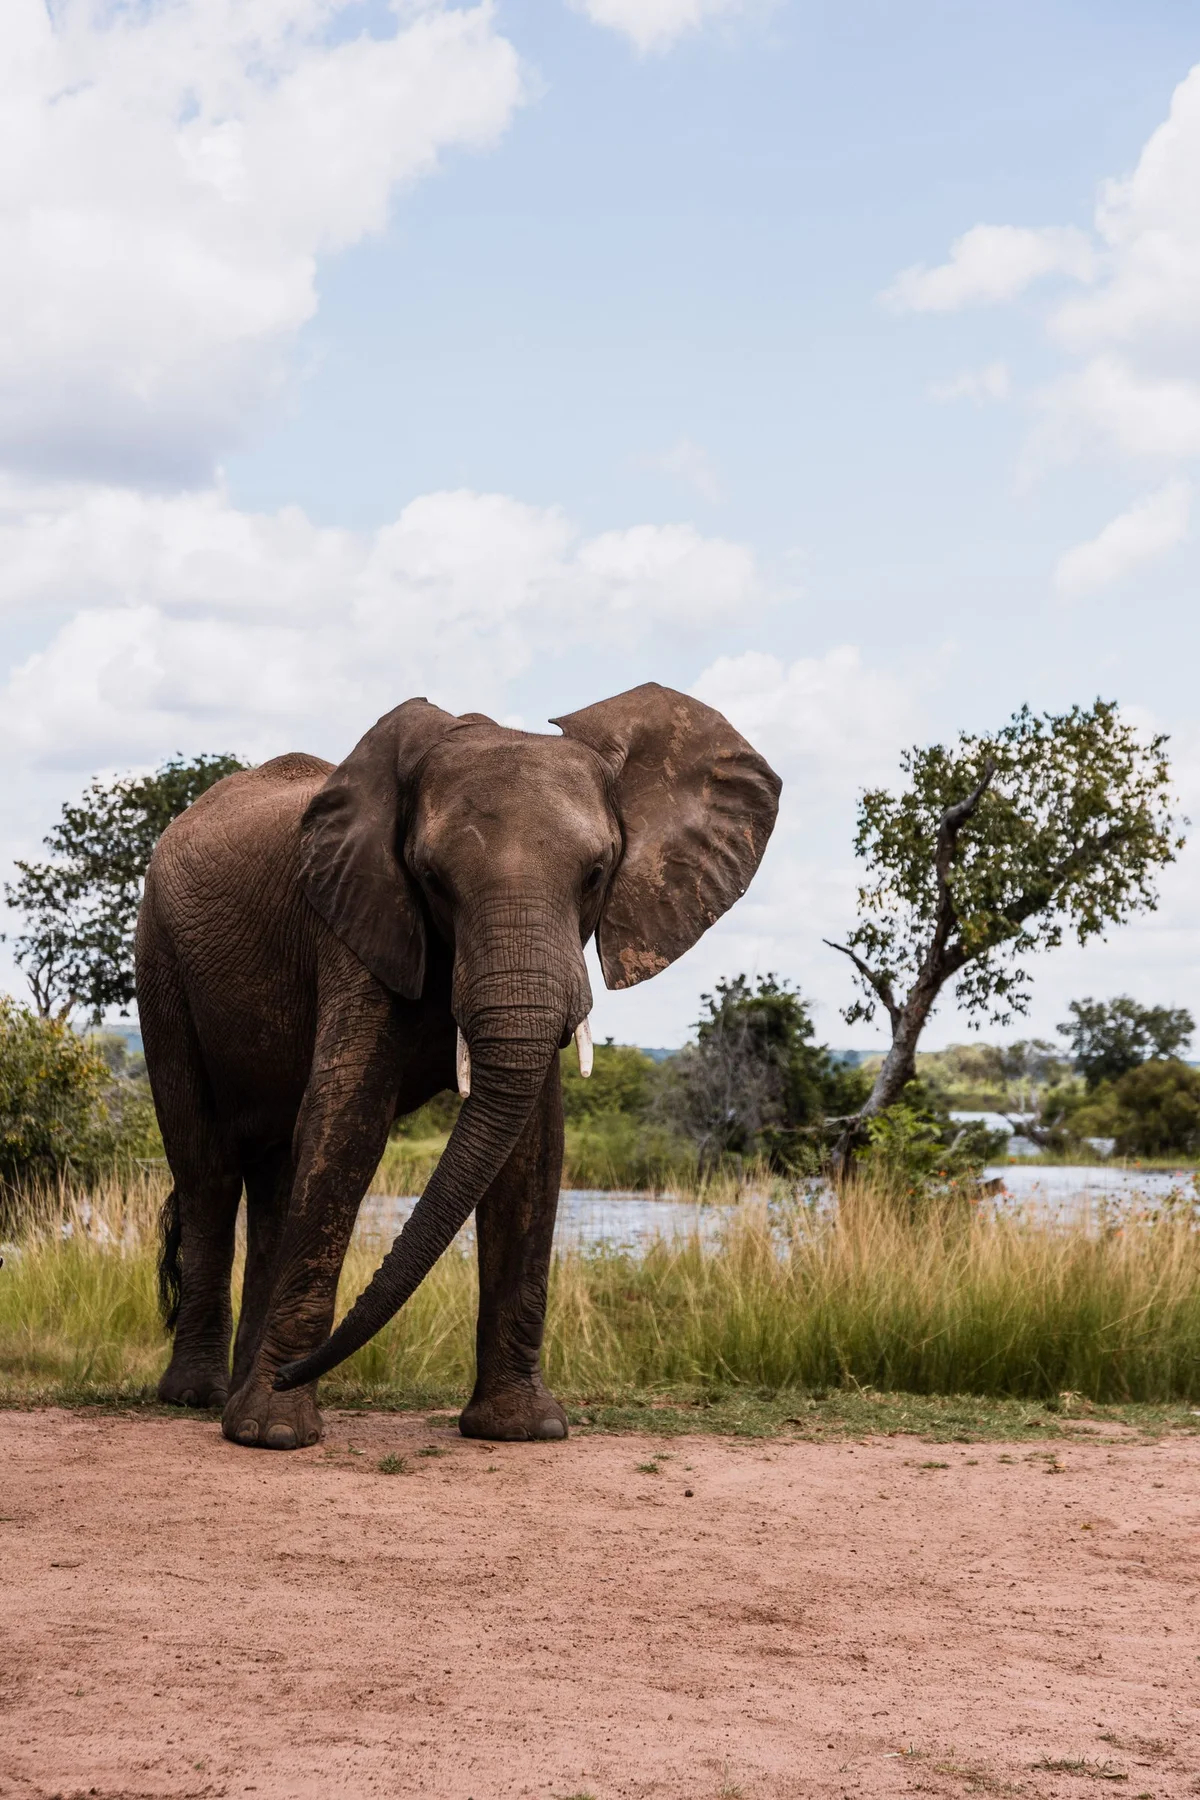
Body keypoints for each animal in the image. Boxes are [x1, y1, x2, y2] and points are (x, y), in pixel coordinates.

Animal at [137, 682, 780, 1450]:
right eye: (431, 879)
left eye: (596, 875)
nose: (294, 1373)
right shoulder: (354, 918)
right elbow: (349, 1117)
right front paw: (272, 1433)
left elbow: (532, 1146)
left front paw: (522, 1430)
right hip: (159, 957)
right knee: (206, 1168)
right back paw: (200, 1398)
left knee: (275, 1176)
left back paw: (233, 1392)